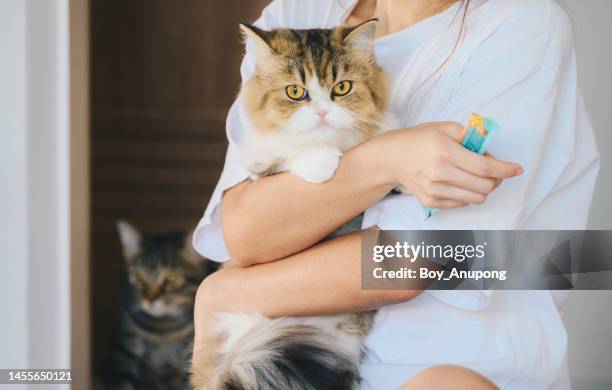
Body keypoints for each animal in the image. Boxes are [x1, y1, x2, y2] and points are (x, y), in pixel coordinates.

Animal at [106, 221, 216, 390]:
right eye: (137, 277)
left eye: (172, 278)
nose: (150, 299)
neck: (164, 329)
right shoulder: (123, 349)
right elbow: (121, 383)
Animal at [190, 19, 396, 390]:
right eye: (296, 92)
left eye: (342, 87)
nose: (322, 112)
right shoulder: (259, 165)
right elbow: (288, 156)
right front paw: (321, 162)